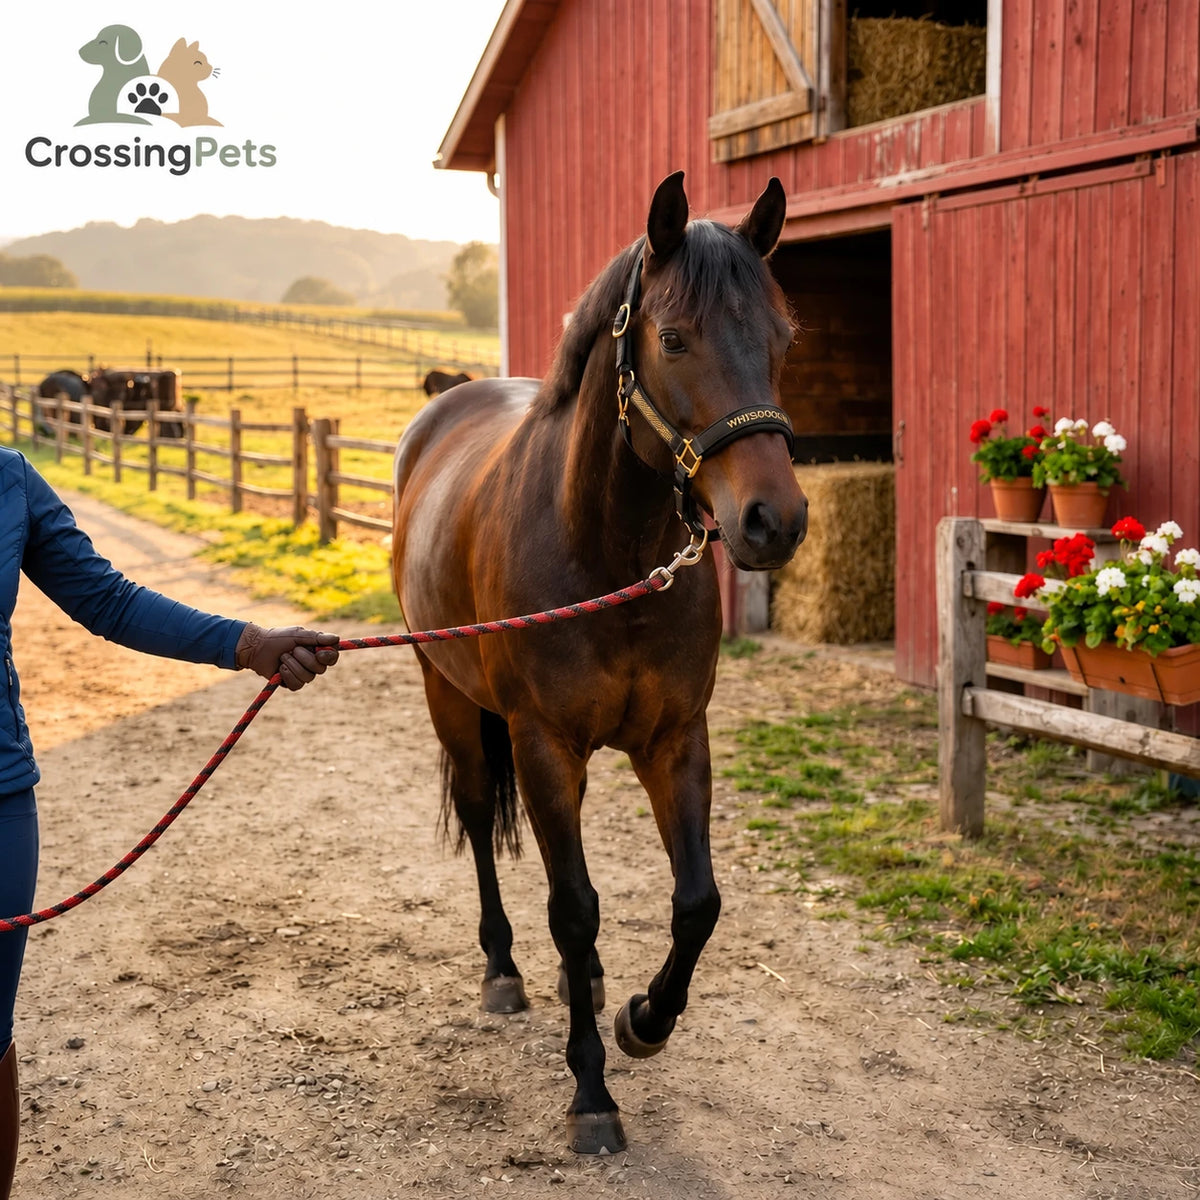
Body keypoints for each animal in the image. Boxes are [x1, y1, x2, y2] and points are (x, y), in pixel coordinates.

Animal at [390, 171, 807, 1155]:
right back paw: (503, 969)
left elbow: (697, 902)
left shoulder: (676, 741)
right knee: (480, 818)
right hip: (447, 695)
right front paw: (591, 1092)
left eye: (781, 339)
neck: (607, 554)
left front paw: (643, 1020)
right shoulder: (544, 747)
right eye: (673, 337)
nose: (774, 520)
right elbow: (574, 908)